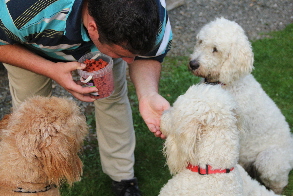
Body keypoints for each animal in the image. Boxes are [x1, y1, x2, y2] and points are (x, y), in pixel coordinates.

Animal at [187, 17, 292, 194]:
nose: (193, 64)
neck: (225, 84)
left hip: (268, 159)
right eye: (200, 41)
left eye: (215, 49)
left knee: (278, 183)